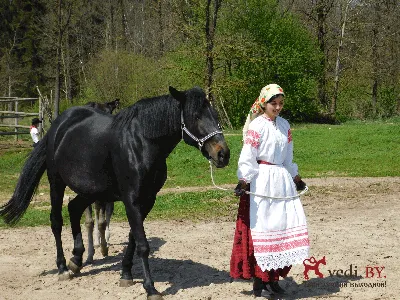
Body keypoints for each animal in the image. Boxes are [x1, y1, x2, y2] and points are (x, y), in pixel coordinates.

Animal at [0, 85, 230, 298]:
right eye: (196, 116)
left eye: (215, 115)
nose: (223, 154)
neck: (141, 144)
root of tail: (58, 125)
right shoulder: (131, 200)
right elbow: (143, 244)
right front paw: (150, 288)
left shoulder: (147, 200)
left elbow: (133, 239)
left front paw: (126, 275)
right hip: (56, 182)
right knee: (56, 221)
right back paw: (63, 268)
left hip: (90, 190)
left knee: (74, 209)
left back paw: (77, 259)